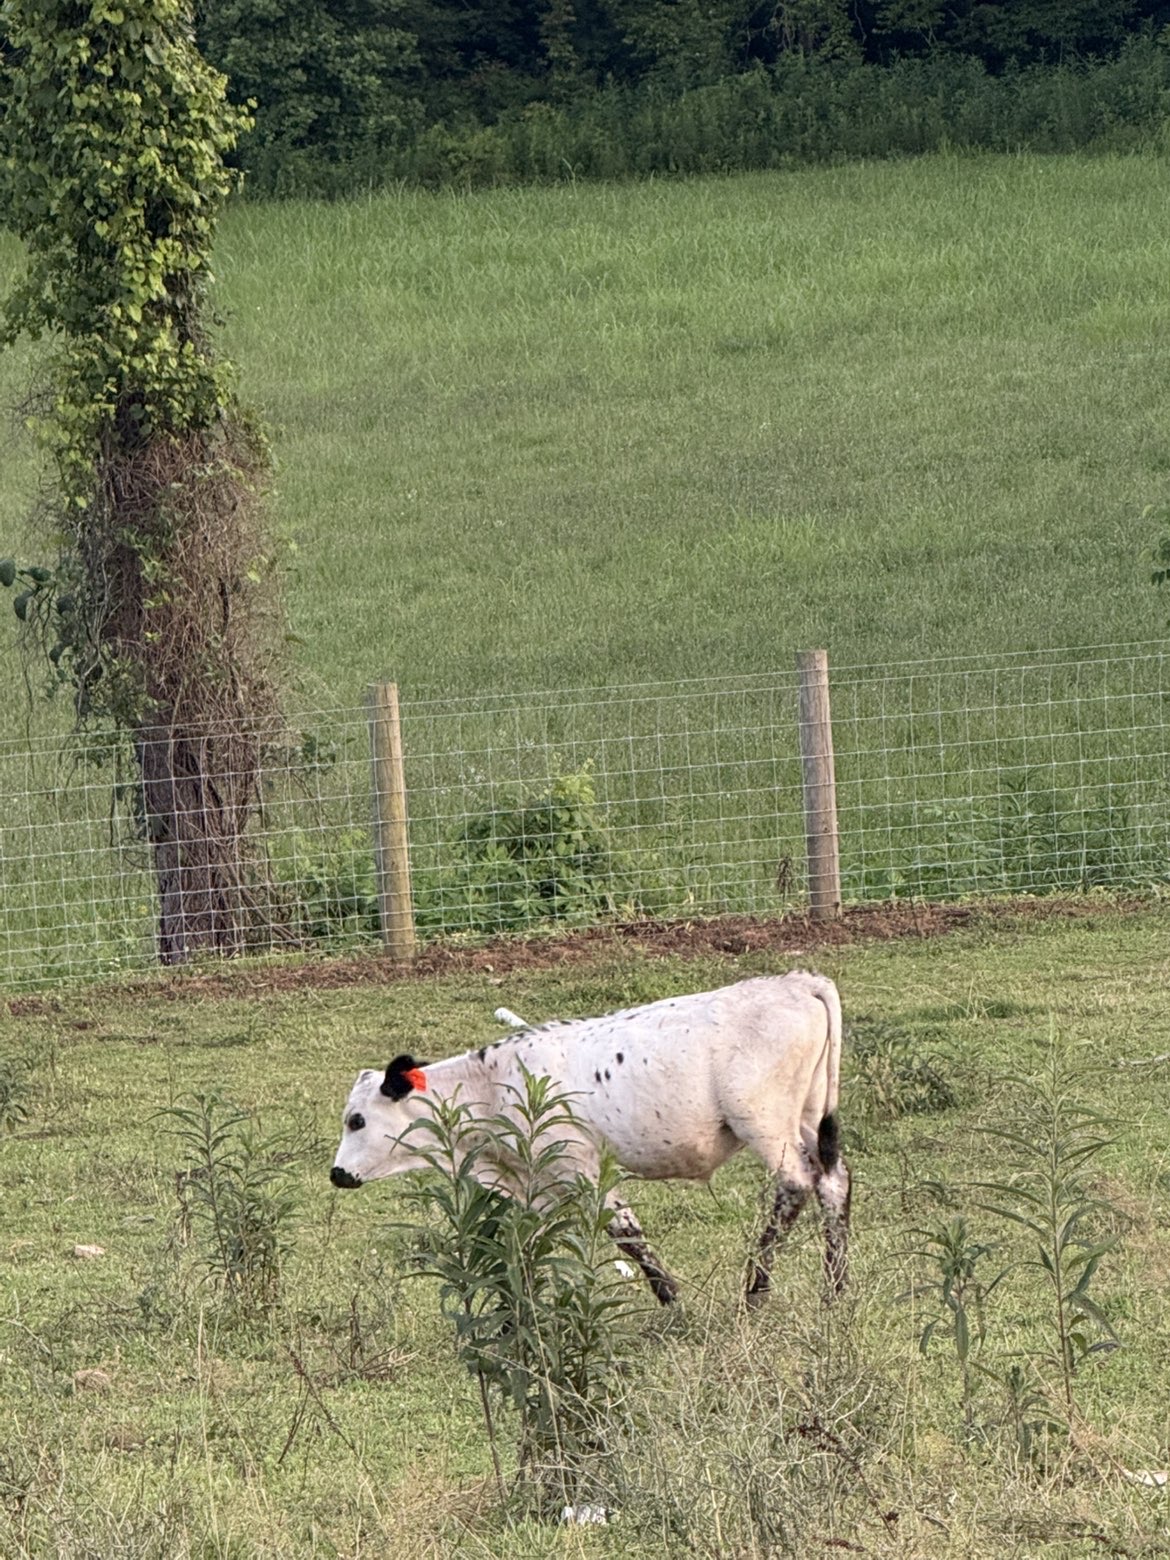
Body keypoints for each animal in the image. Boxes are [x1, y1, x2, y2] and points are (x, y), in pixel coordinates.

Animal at [330, 971, 851, 1307]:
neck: (490, 1083)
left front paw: (671, 1297)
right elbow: (524, 1241)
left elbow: (624, 1230)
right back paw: (835, 1289)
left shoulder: (577, 1166)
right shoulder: (535, 1181)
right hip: (810, 1116)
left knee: (796, 1184)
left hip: (764, 1121)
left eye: (357, 1120)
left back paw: (756, 1290)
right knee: (834, 1181)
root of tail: (798, 981)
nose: (337, 1174)